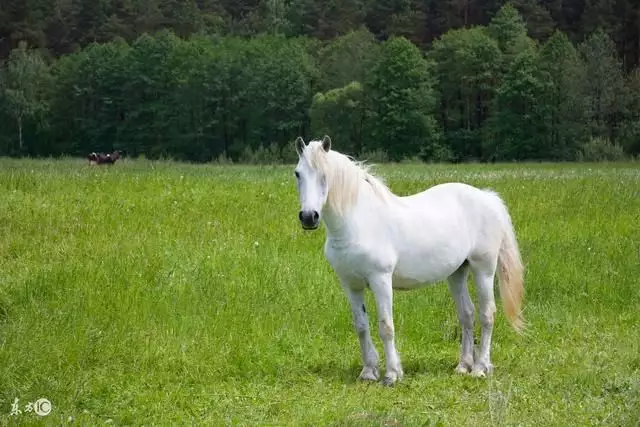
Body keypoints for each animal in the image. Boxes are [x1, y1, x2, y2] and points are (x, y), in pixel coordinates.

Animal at [292, 135, 524, 386]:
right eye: (298, 173)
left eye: (325, 174)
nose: (309, 217)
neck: (359, 222)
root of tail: (487, 197)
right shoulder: (351, 285)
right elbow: (361, 326)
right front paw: (368, 372)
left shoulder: (381, 280)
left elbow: (386, 326)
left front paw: (392, 375)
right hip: (457, 273)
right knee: (467, 315)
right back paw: (463, 366)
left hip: (484, 270)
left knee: (487, 314)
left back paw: (480, 368)